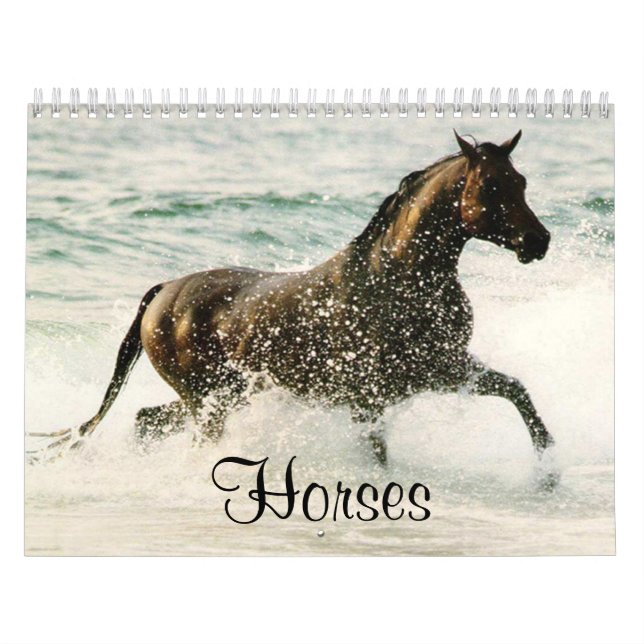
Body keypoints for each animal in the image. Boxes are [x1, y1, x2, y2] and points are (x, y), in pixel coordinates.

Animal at [35, 130, 554, 467]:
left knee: (147, 421)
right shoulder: (370, 397)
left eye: (522, 182)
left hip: (219, 396)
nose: (538, 241)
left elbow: (517, 392)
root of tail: (164, 291)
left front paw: (548, 466)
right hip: (209, 400)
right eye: (490, 185)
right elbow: (378, 454)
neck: (396, 280)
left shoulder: (443, 369)